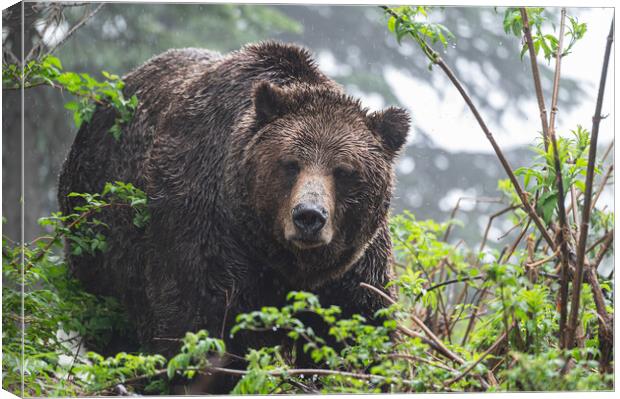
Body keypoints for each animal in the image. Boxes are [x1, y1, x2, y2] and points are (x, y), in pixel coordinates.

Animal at [57, 41, 406, 382]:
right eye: (290, 163)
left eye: (344, 170)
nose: (309, 216)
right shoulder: (203, 232)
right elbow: (195, 327)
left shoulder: (354, 267)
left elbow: (360, 336)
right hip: (99, 247)